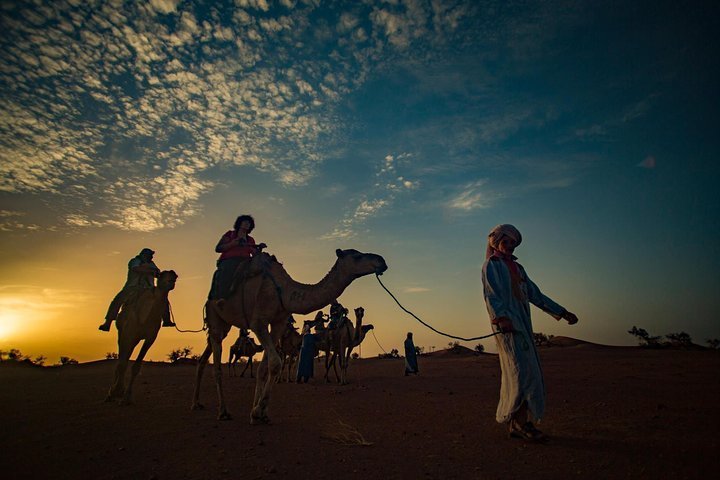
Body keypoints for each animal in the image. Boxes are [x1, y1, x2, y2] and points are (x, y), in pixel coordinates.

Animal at [105, 272, 179, 404]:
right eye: (161, 275)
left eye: (173, 274)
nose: (173, 274)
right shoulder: (128, 334)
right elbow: (122, 363)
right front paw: (116, 392)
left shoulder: (150, 338)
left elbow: (136, 367)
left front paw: (126, 397)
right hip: (122, 333)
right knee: (121, 360)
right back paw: (111, 393)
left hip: (134, 339)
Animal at [188, 249, 386, 422]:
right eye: (357, 256)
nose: (381, 261)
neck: (282, 291)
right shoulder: (259, 322)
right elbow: (275, 363)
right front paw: (258, 410)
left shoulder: (278, 324)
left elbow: (264, 367)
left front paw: (259, 413)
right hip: (215, 317)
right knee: (217, 365)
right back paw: (223, 412)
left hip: (224, 326)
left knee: (203, 359)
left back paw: (196, 403)